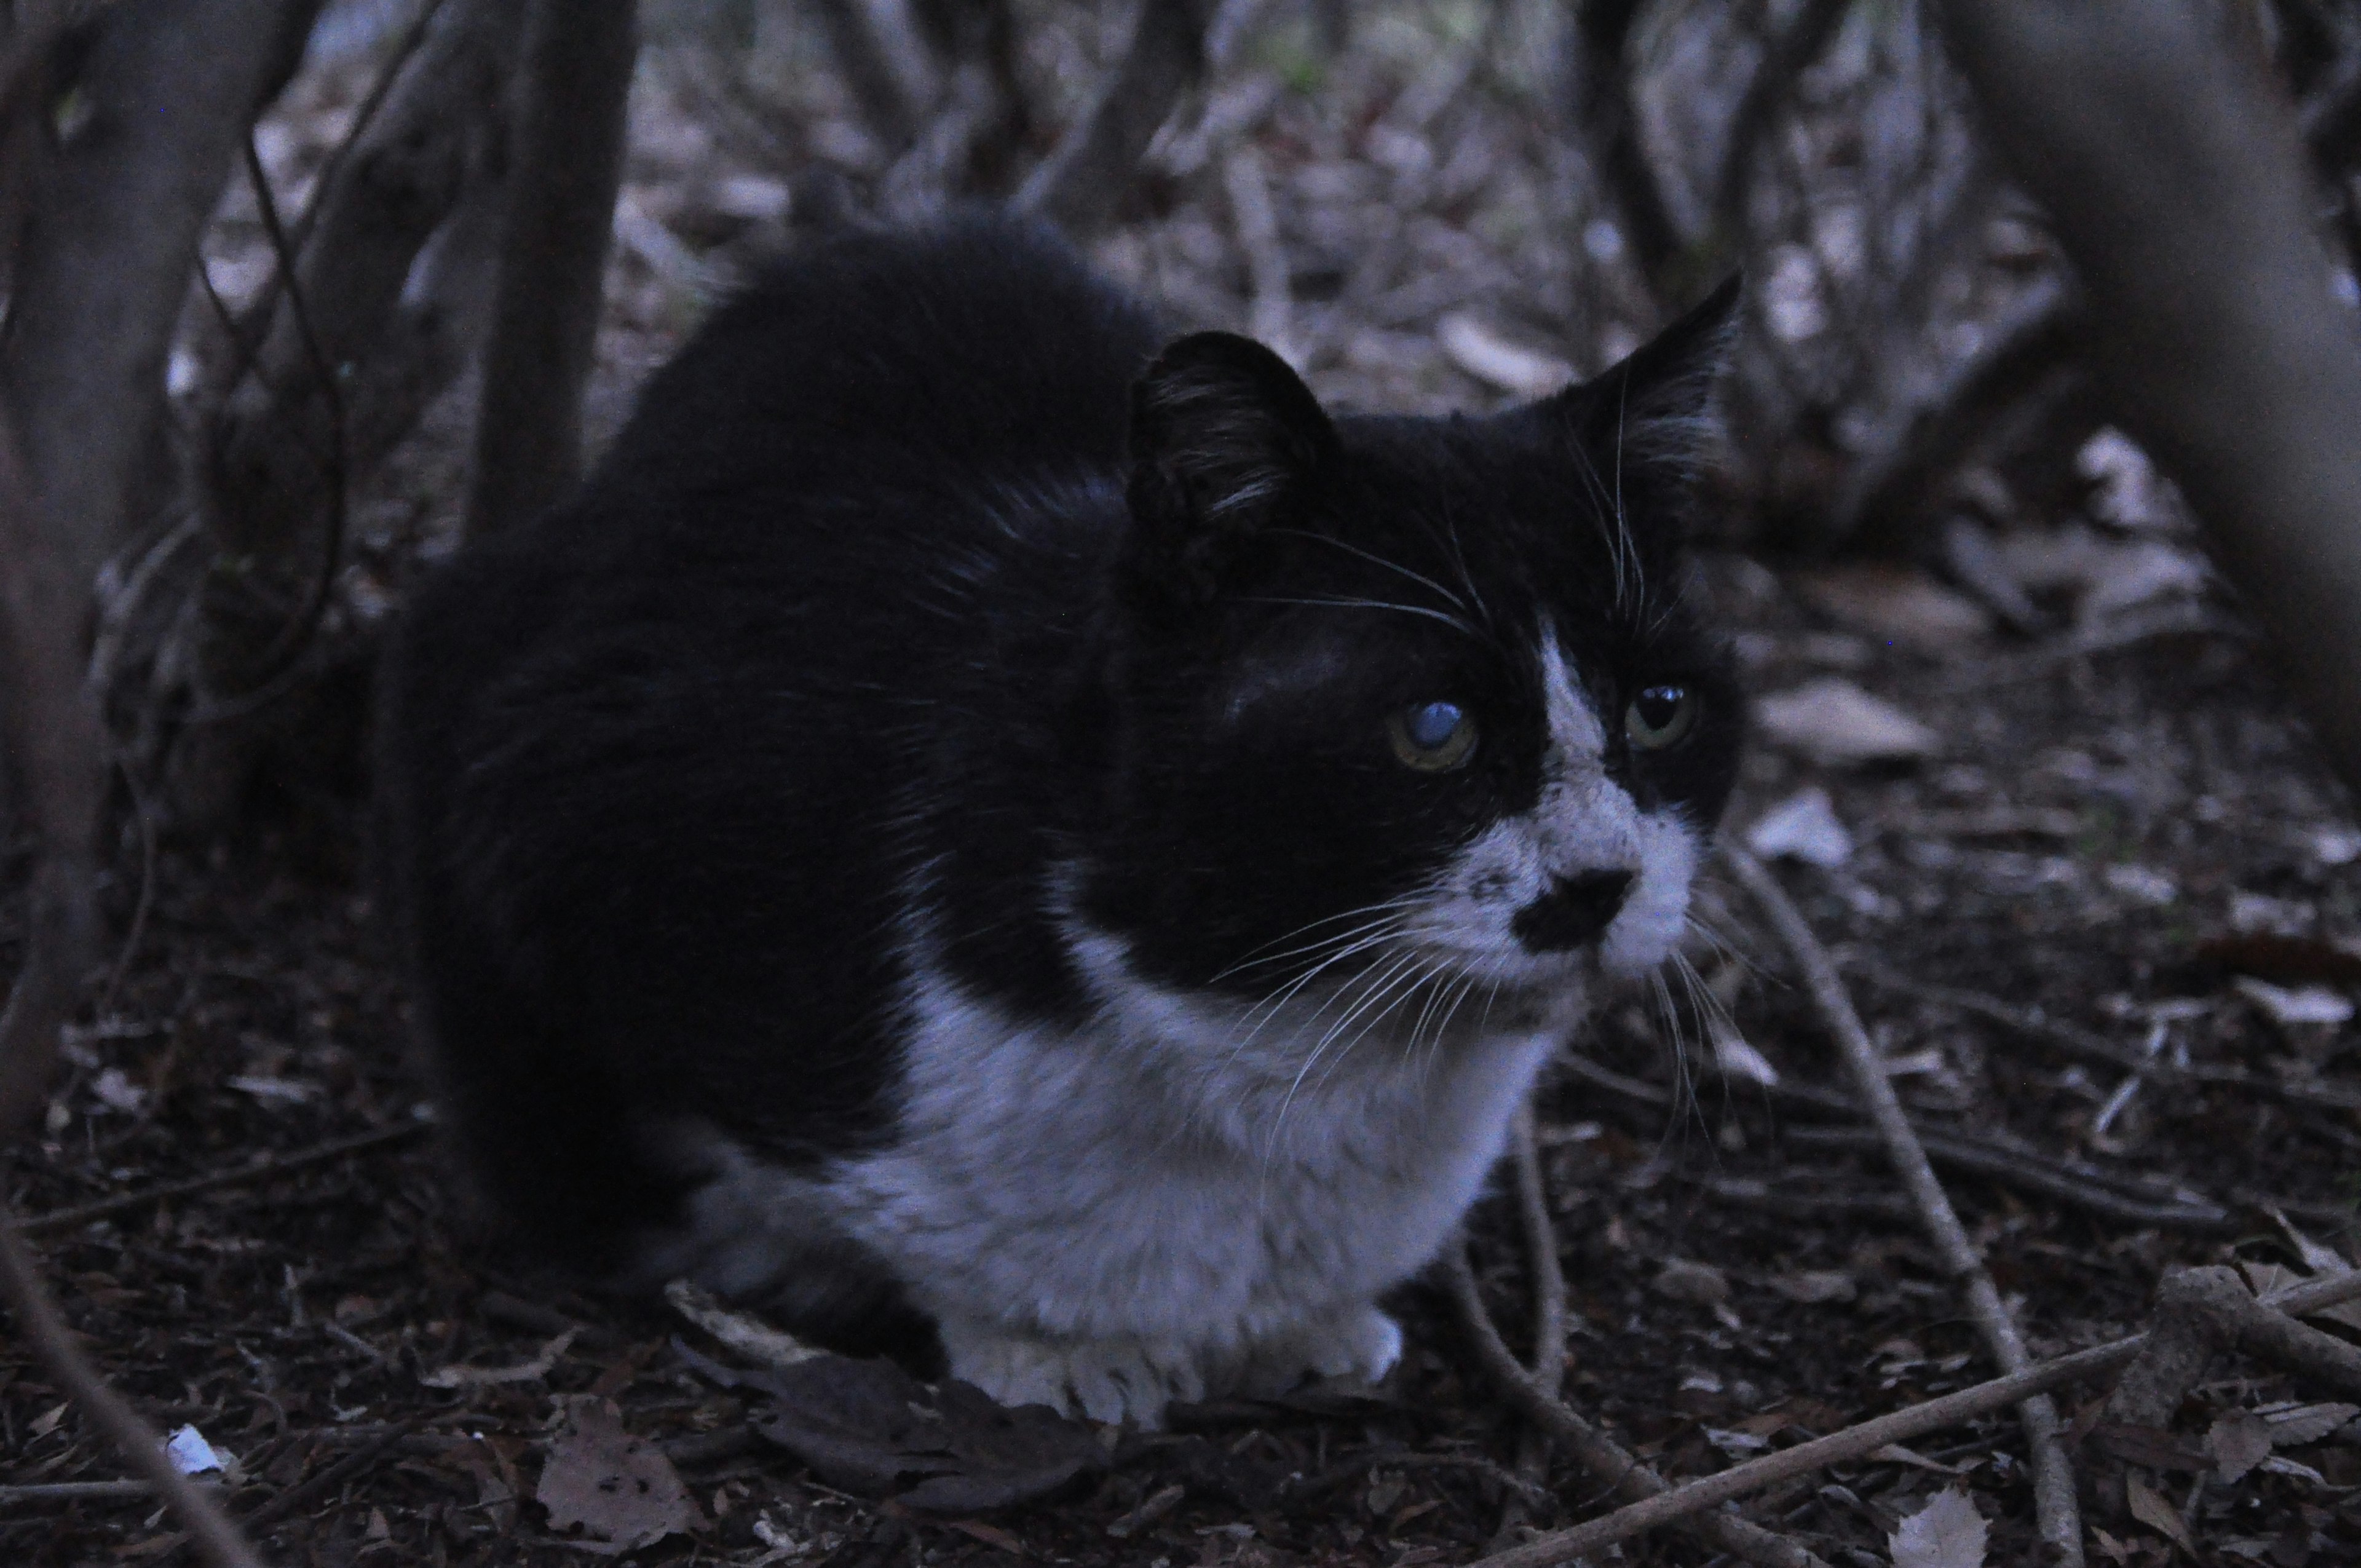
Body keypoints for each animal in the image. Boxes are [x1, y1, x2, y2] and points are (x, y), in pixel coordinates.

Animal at [378, 215, 1747, 1426]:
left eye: (1662, 709)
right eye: (1435, 727)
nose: (1600, 881)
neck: (1284, 1041)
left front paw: (1302, 1327)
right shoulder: (554, 791)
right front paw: (1051, 1348)